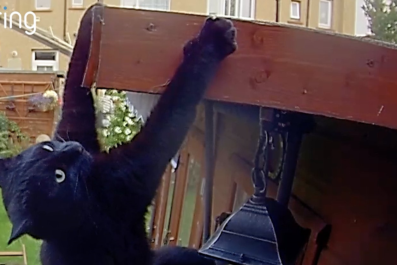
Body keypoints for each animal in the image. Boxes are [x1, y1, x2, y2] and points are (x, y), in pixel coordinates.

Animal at [0, 11, 235, 264]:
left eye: (47, 148)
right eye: (58, 176)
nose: (73, 149)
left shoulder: (72, 128)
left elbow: (75, 88)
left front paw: (91, 15)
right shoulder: (129, 175)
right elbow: (175, 108)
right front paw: (214, 39)